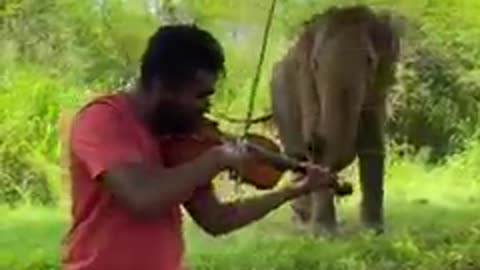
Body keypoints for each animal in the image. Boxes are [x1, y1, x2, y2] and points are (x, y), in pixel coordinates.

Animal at [270, 4, 402, 236]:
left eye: (370, 61)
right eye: (315, 64)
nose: (313, 142)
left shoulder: (379, 86)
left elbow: (373, 143)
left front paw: (373, 231)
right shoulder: (306, 80)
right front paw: (324, 235)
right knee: (295, 157)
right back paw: (302, 219)